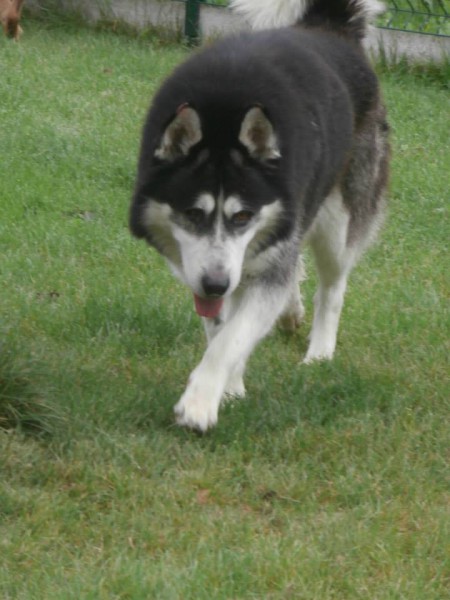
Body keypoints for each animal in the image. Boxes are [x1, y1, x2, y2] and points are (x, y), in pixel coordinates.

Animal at [129, 0, 390, 432]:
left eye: (242, 216)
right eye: (192, 213)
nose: (216, 284)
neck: (222, 116)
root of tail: (328, 26)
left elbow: (231, 337)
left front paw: (201, 402)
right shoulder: (202, 266)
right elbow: (221, 328)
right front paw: (231, 387)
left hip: (338, 219)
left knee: (331, 286)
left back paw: (320, 351)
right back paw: (289, 313)